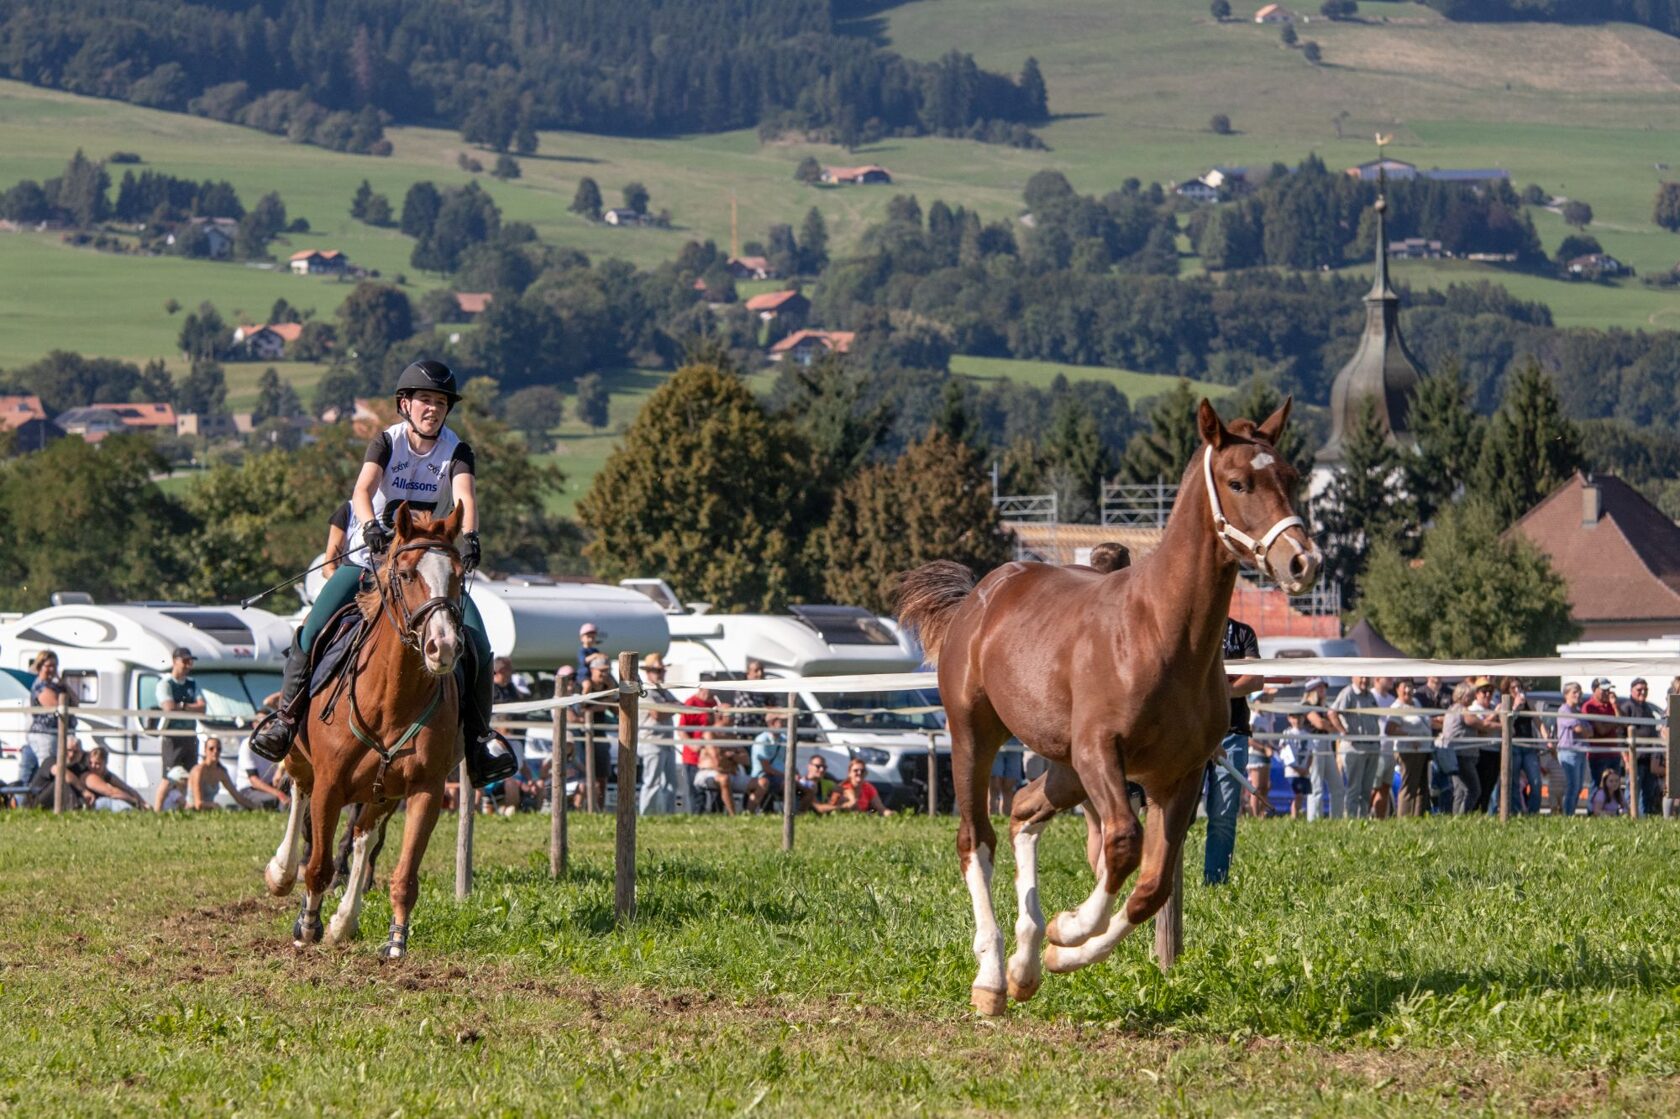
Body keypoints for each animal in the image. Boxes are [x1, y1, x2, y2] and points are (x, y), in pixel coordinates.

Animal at [262, 502, 467, 958]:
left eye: (459, 575)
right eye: (405, 574)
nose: (443, 646)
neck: (391, 699)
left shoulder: (425, 790)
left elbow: (403, 875)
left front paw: (395, 941)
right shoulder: (330, 785)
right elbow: (318, 865)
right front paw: (307, 926)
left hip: (382, 793)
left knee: (362, 839)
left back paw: (345, 920)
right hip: (300, 758)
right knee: (299, 795)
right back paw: (282, 872)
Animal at [896, 398, 1321, 1016]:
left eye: (1290, 478)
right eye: (1239, 481)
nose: (1303, 563)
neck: (1161, 633)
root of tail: (980, 594)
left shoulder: (1180, 774)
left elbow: (1152, 888)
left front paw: (1058, 951)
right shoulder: (1101, 752)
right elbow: (1121, 845)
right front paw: (1070, 928)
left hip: (1064, 768)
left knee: (1023, 810)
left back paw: (1025, 964)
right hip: (976, 734)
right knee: (976, 838)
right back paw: (993, 978)